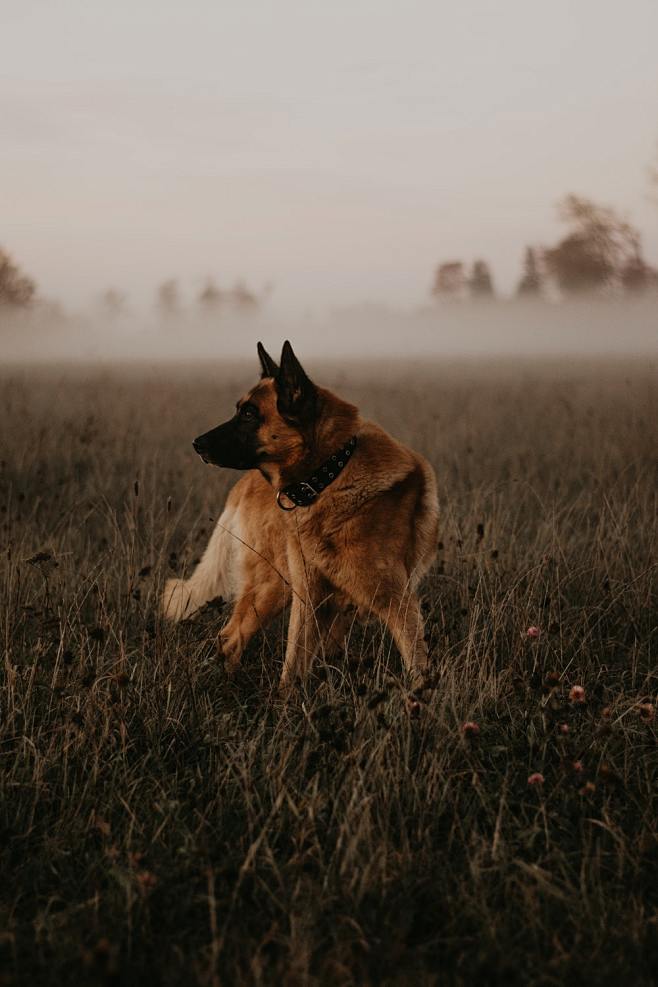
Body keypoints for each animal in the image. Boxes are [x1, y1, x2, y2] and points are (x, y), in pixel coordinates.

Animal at [160, 344, 436, 692]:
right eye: (240, 410)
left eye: (249, 413)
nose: (197, 445)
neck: (329, 476)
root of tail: (245, 483)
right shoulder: (308, 598)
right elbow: (292, 665)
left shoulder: (394, 603)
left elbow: (416, 669)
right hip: (274, 585)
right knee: (231, 637)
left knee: (231, 639)